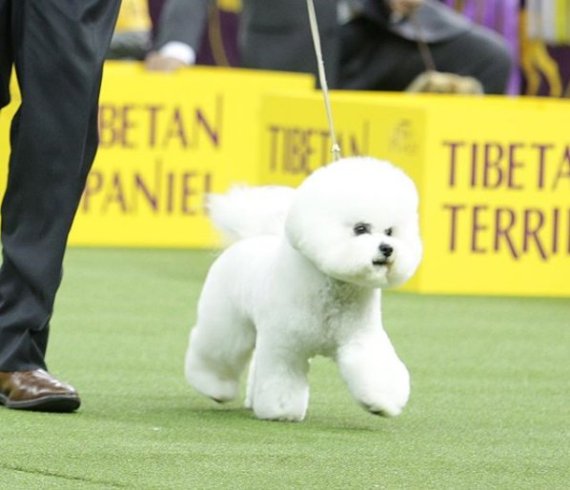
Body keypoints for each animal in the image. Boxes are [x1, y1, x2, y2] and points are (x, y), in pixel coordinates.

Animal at [184, 156, 420, 422]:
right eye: (360, 229)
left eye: (390, 231)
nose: (388, 249)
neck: (333, 290)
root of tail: (251, 239)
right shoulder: (286, 345)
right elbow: (283, 377)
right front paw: (282, 410)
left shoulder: (360, 338)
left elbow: (374, 367)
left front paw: (381, 402)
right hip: (229, 322)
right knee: (219, 350)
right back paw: (215, 388)